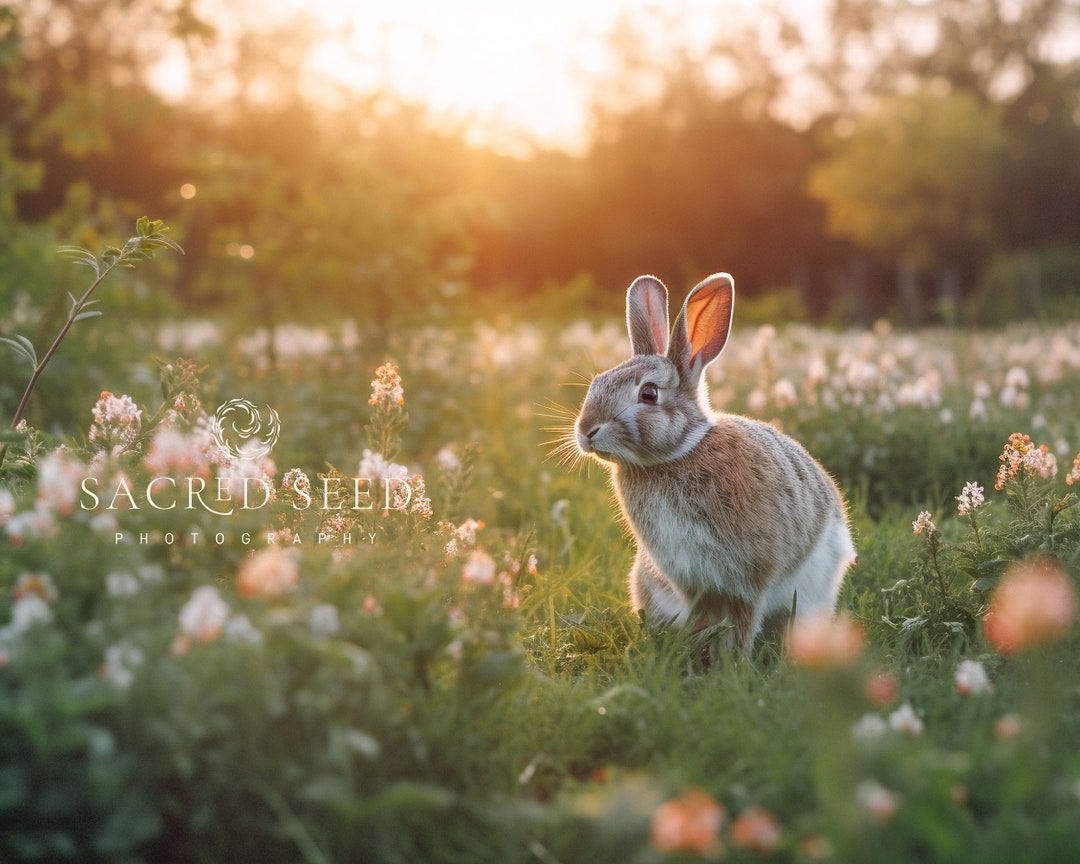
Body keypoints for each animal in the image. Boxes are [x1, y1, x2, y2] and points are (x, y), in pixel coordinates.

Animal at [574, 273, 856, 654]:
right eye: (596, 382)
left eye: (649, 394)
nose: (586, 431)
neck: (676, 455)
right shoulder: (692, 580)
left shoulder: (749, 578)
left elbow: (743, 620)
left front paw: (732, 660)